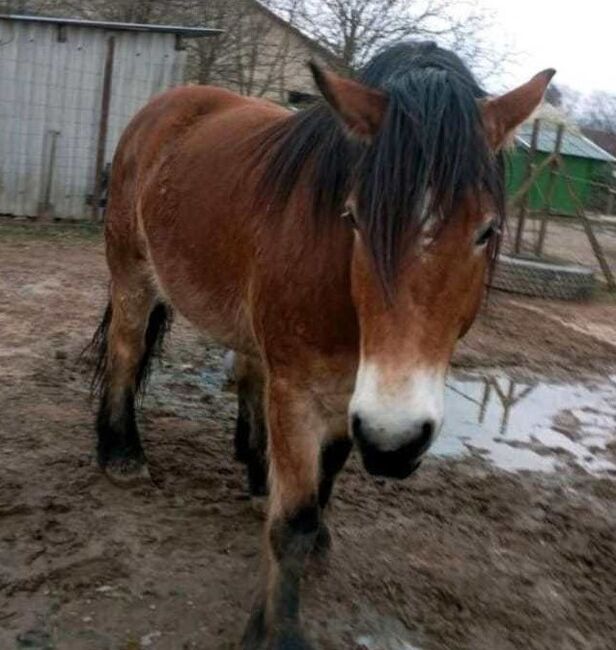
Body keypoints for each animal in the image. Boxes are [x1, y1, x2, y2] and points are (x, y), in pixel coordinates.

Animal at [90, 43, 552, 644]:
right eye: (353, 217)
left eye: (487, 231)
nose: (395, 444)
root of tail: (164, 106)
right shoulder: (300, 391)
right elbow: (293, 522)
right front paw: (277, 633)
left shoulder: (349, 394)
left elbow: (322, 485)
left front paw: (309, 535)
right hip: (132, 273)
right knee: (126, 353)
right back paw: (121, 454)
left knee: (246, 376)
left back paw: (255, 471)